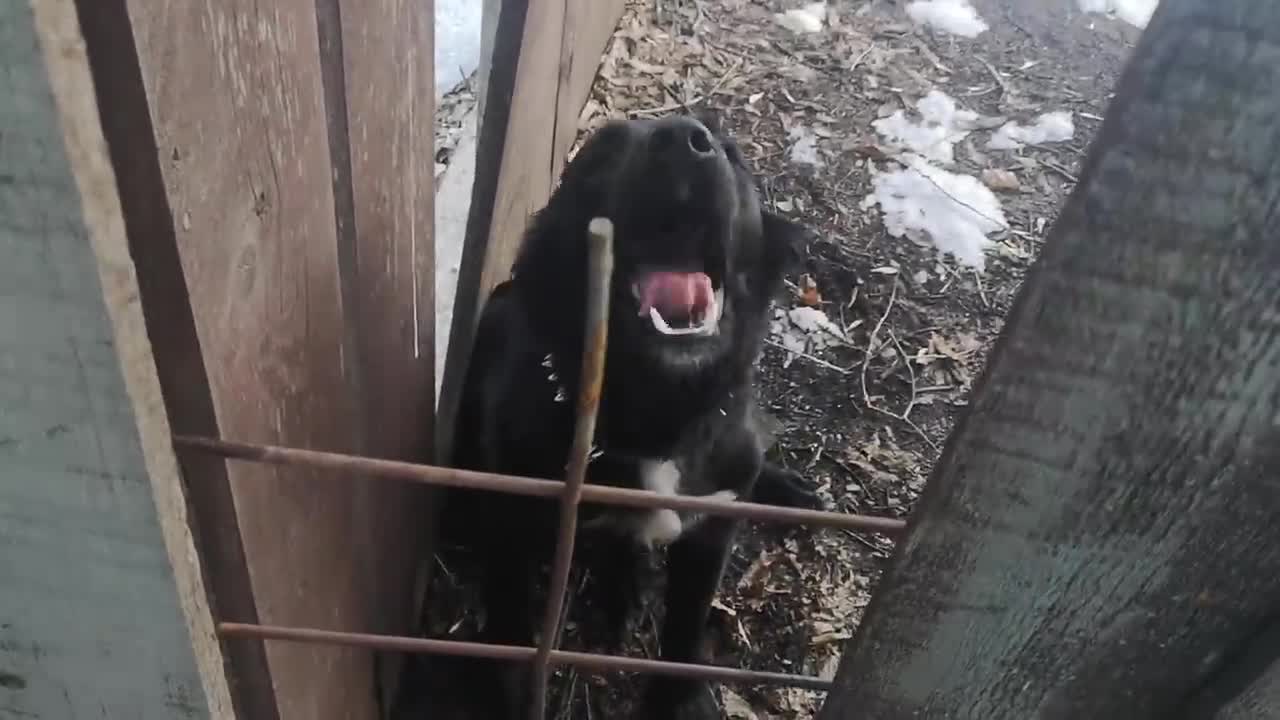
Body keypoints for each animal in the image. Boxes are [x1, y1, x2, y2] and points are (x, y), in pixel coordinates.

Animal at [445, 114, 814, 712]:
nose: (685, 139)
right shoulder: (510, 534)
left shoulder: (710, 535)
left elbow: (684, 636)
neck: (655, 424)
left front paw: (674, 702)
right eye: (603, 150)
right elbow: (512, 640)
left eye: (733, 153)